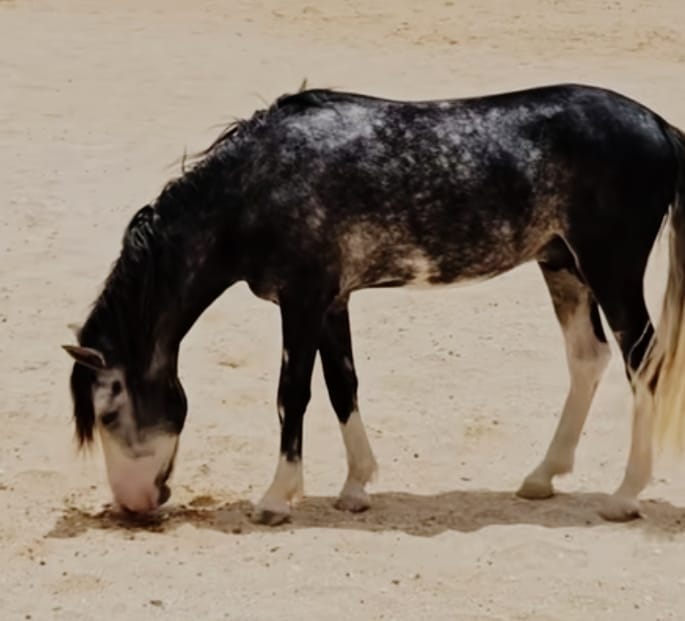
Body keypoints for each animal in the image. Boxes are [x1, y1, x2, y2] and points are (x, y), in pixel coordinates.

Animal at [63, 83, 685, 526]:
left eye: (109, 411)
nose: (133, 507)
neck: (257, 185)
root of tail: (657, 126)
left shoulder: (302, 302)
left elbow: (292, 395)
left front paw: (277, 498)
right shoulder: (330, 302)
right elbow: (344, 386)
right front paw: (356, 487)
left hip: (611, 271)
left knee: (643, 362)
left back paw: (625, 496)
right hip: (562, 266)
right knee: (588, 358)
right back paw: (542, 477)